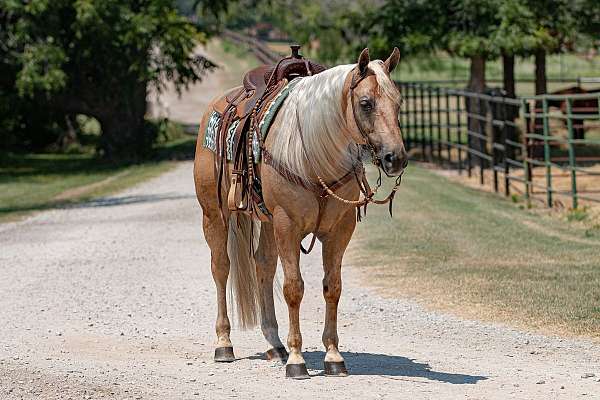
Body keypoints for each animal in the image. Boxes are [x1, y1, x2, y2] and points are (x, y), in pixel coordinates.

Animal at [193, 47, 408, 378]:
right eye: (366, 103)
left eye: (398, 102)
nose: (395, 158)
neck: (314, 156)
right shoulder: (287, 225)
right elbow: (293, 288)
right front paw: (297, 360)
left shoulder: (339, 230)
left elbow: (333, 288)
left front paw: (333, 356)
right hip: (215, 215)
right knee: (221, 268)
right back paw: (224, 344)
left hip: (266, 222)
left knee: (264, 266)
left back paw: (275, 345)